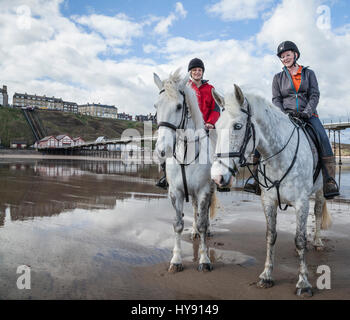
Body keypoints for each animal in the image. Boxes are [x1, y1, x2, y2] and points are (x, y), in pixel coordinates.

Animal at [153, 69, 216, 272]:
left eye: (179, 106)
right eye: (156, 106)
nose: (162, 150)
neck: (186, 154)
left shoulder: (204, 190)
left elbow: (203, 223)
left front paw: (204, 260)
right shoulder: (176, 192)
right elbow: (178, 225)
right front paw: (176, 260)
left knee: (204, 214)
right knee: (196, 210)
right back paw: (194, 231)